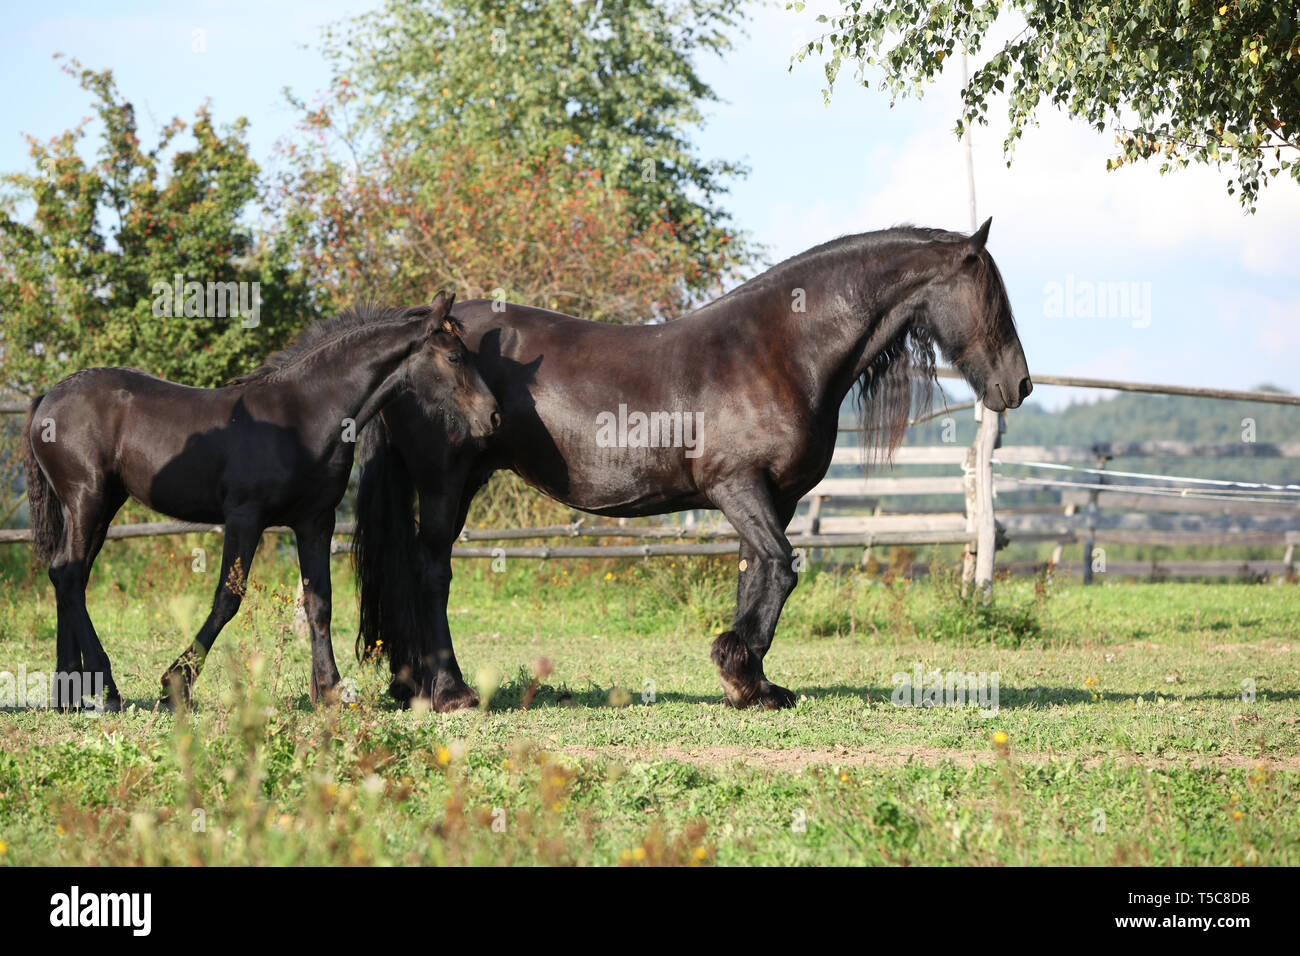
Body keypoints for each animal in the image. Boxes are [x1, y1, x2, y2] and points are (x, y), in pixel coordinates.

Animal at [22, 291, 499, 711]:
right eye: (455, 358)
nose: (493, 417)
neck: (303, 413)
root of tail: (47, 398)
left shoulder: (315, 521)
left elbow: (319, 602)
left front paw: (330, 691)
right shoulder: (244, 517)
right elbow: (227, 598)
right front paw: (177, 683)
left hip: (103, 505)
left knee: (68, 575)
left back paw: (68, 695)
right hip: (87, 498)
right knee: (69, 575)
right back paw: (106, 688)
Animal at [353, 219, 1031, 711]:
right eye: (992, 297)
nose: (1019, 384)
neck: (780, 350)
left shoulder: (772, 498)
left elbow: (756, 574)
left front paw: (754, 683)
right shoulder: (738, 487)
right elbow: (781, 568)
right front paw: (739, 670)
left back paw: (413, 686)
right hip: (446, 482)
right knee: (430, 571)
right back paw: (451, 691)